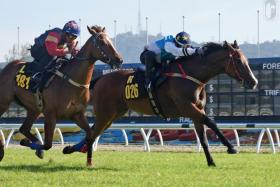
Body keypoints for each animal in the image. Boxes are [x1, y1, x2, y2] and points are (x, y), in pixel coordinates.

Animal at [0, 25, 122, 165]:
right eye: (101, 42)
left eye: (111, 41)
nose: (119, 59)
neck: (71, 81)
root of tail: (8, 66)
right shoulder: (50, 114)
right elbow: (48, 144)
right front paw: (27, 143)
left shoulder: (77, 114)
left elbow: (90, 135)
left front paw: (78, 154)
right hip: (4, 102)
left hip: (34, 109)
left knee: (24, 128)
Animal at [64, 41, 258, 167]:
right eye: (238, 61)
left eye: (247, 60)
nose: (254, 82)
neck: (191, 75)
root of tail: (101, 78)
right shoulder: (187, 107)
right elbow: (211, 122)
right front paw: (231, 147)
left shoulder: (196, 110)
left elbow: (203, 138)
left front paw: (211, 161)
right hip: (106, 113)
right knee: (92, 134)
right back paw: (88, 161)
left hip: (113, 114)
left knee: (93, 132)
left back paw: (73, 150)